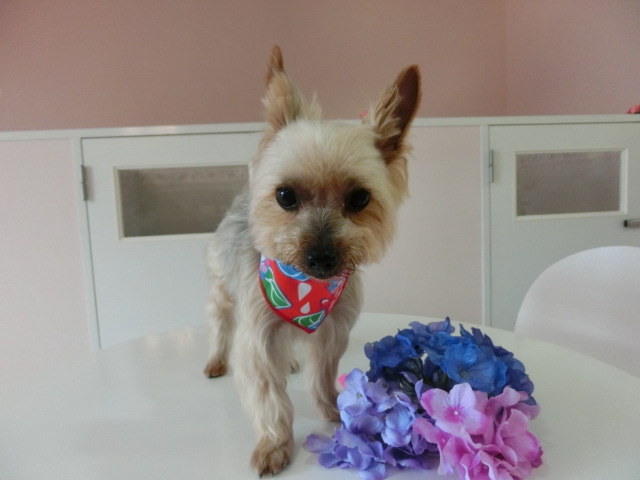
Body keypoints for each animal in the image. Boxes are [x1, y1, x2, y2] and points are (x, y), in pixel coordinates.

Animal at [203, 46, 421, 476]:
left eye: (360, 198)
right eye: (285, 196)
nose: (321, 258)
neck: (305, 289)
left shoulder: (333, 328)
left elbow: (323, 374)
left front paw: (336, 412)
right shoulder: (258, 335)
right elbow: (269, 396)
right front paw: (275, 445)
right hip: (223, 284)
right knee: (220, 319)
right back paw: (216, 358)